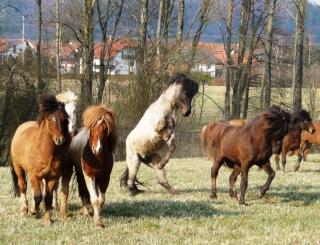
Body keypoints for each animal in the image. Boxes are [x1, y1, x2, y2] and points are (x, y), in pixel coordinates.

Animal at [10, 94, 70, 225]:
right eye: (50, 118)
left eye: (64, 119)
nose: (60, 140)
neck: (43, 151)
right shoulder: (34, 175)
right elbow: (38, 196)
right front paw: (33, 210)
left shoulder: (52, 177)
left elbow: (47, 197)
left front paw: (47, 220)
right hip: (19, 168)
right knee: (23, 186)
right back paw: (25, 210)